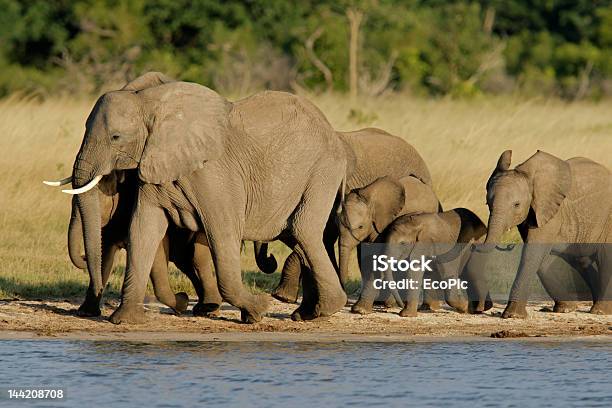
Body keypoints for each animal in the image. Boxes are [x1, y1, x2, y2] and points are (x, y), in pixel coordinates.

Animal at [55, 71, 346, 324]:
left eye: (116, 137)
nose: (83, 260)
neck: (148, 103)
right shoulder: (154, 166)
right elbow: (143, 229)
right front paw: (125, 320)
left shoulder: (214, 174)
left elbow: (223, 231)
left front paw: (258, 311)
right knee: (296, 237)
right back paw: (308, 313)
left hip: (322, 171)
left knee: (303, 230)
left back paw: (322, 310)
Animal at [358, 209, 488, 318]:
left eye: (403, 244)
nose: (401, 304)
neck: (415, 224)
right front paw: (360, 311)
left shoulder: (439, 245)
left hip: (477, 245)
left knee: (473, 273)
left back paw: (474, 310)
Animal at [466, 151, 608, 318]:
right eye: (488, 204)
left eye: (516, 205)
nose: (481, 308)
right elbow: (541, 258)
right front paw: (566, 309)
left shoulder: (550, 212)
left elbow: (532, 254)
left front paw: (513, 315)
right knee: (582, 260)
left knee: (605, 257)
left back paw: (600, 311)